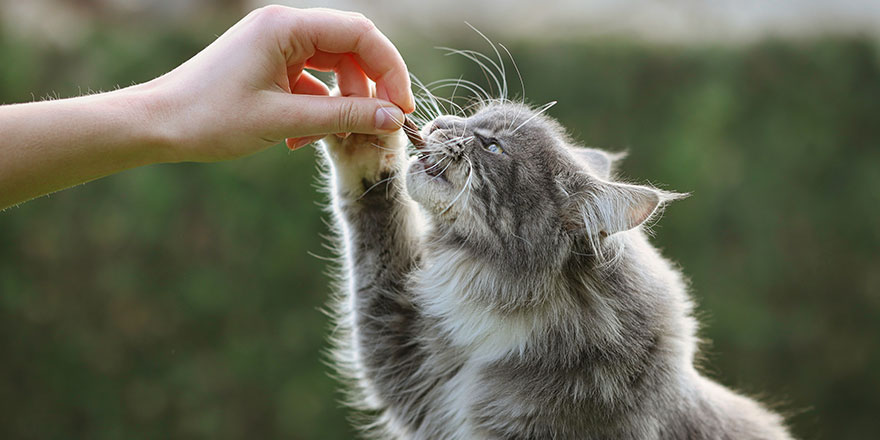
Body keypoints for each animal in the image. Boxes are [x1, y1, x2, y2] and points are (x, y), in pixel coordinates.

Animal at [318, 87, 792, 438]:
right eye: (474, 117)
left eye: (493, 146)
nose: (438, 124)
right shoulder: (410, 360)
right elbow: (375, 215)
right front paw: (360, 127)